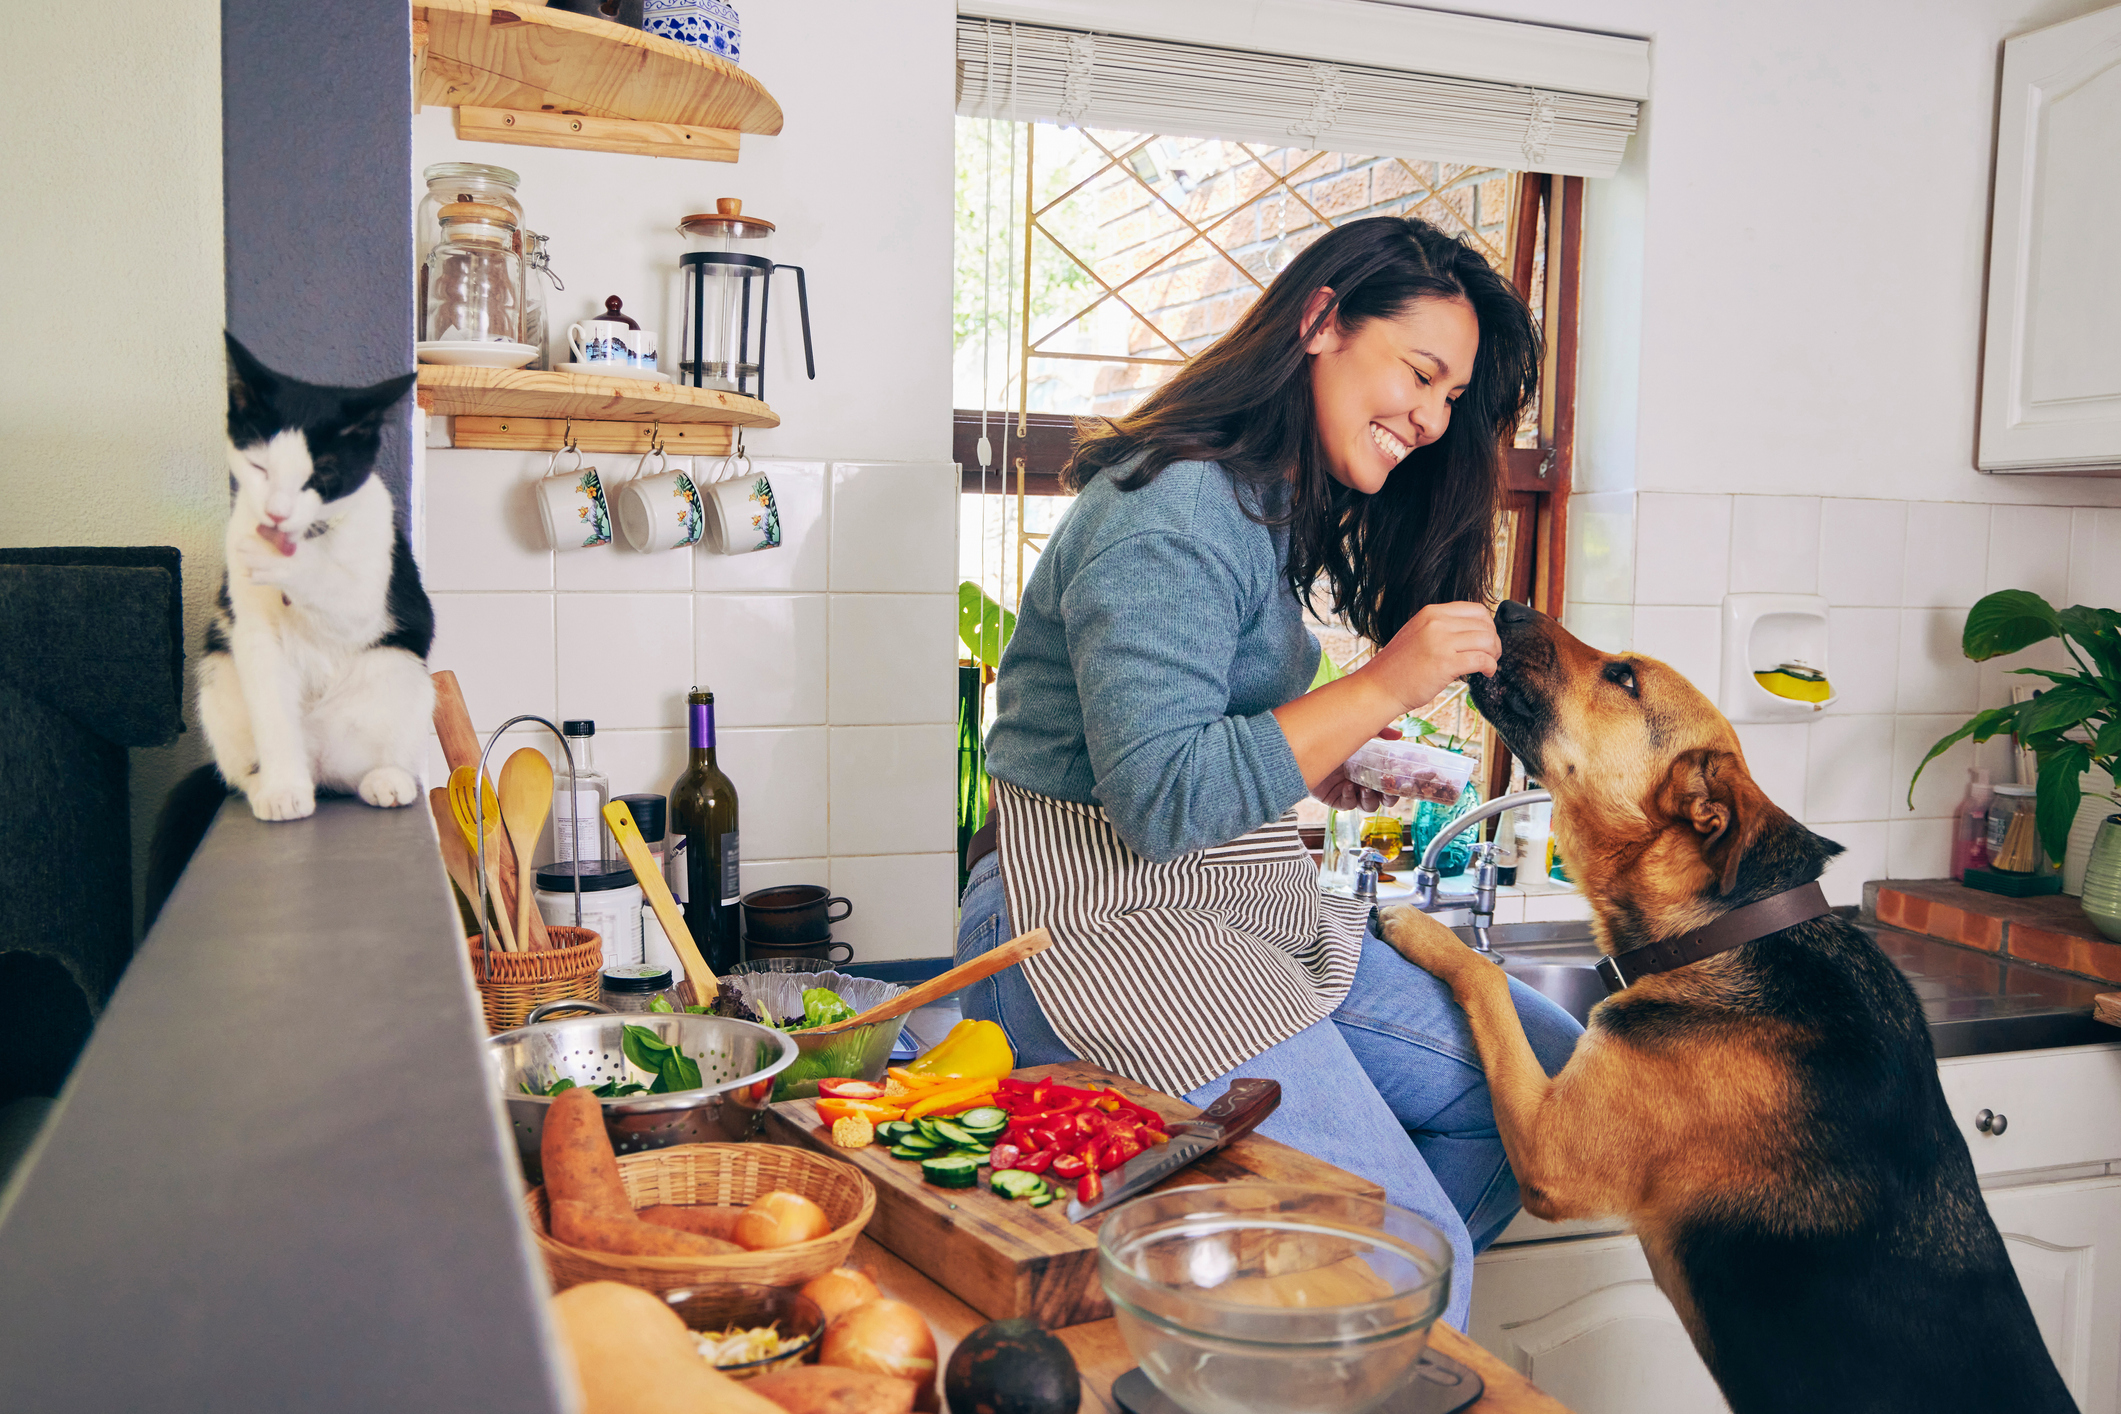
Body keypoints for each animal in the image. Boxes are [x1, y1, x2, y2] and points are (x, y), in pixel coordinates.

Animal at [199, 337, 434, 818]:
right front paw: (283, 790)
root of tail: (323, 769)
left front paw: (290, 566)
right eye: (260, 469)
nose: (276, 513)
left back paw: (387, 778)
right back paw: (266, 783)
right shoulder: (254, 635)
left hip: (401, 668)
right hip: (218, 677)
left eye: (322, 474)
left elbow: (345, 599)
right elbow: (271, 708)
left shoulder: (372, 587)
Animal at [1374, 602, 2070, 1414]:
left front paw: (1419, 926)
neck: (1725, 933)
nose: (1507, 608)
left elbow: (1485, 980)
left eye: (1623, 676)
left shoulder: (1549, 1153)